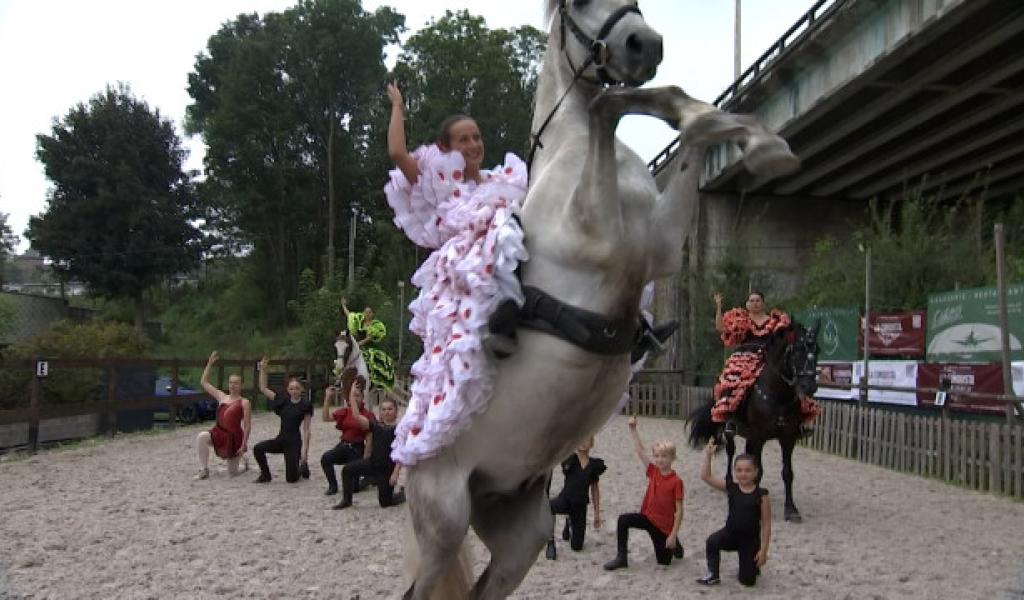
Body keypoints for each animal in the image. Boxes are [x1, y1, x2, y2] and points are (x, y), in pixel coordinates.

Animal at [401, 2, 798, 593]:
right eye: (576, 4)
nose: (643, 44)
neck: (570, 152)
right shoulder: (602, 239)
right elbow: (608, 106)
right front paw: (751, 137)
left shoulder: (660, 244)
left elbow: (676, 119)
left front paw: (761, 143)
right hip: (444, 523)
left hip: (520, 534)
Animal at [688, 319, 823, 520]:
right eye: (797, 349)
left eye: (817, 349)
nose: (810, 386)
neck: (778, 396)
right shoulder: (760, 437)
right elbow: (758, 469)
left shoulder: (788, 438)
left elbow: (787, 473)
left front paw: (791, 509)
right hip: (731, 430)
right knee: (730, 452)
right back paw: (729, 483)